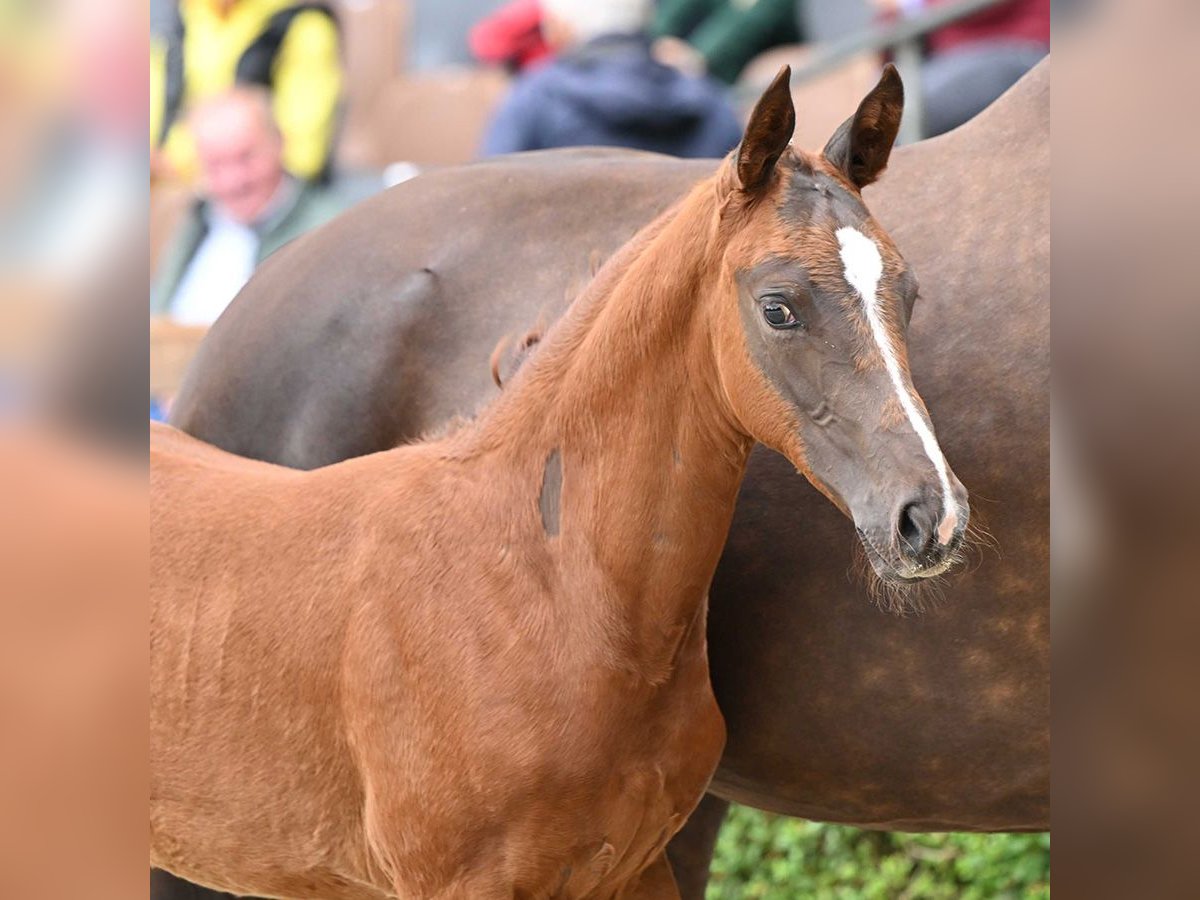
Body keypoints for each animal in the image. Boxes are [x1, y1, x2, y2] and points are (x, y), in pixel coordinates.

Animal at [164, 60, 1046, 897]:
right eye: (779, 306)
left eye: (909, 294)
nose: (929, 518)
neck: (541, 579)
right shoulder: (457, 879)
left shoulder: (632, 865)